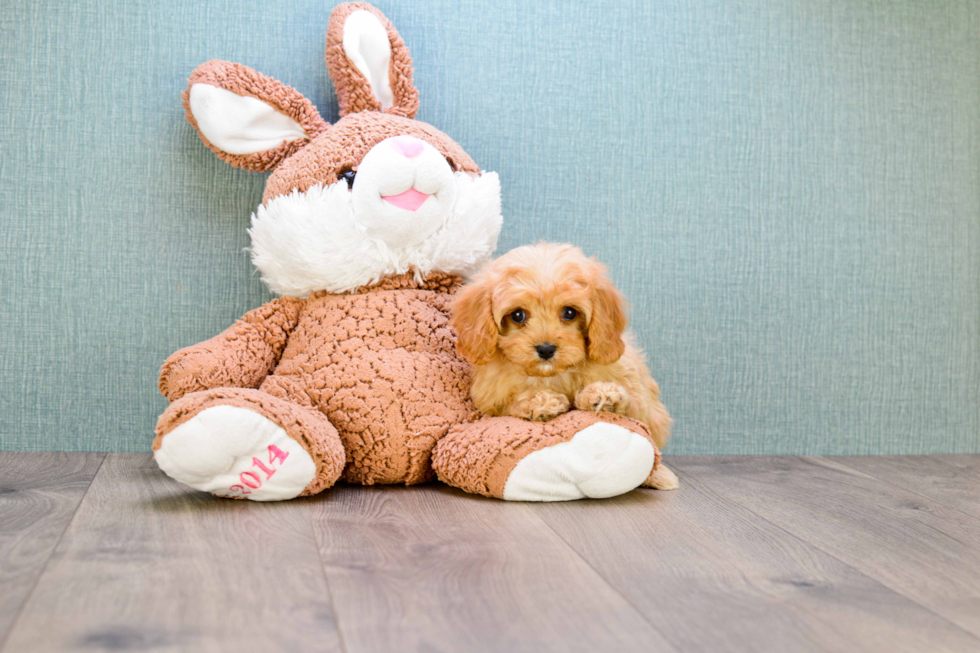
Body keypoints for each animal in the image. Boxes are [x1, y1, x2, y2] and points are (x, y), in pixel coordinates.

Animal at [454, 243, 676, 488]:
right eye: (518, 315)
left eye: (569, 312)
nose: (546, 349)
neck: (553, 375)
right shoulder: (490, 403)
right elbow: (508, 406)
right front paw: (541, 402)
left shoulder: (644, 404)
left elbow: (635, 409)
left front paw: (603, 394)